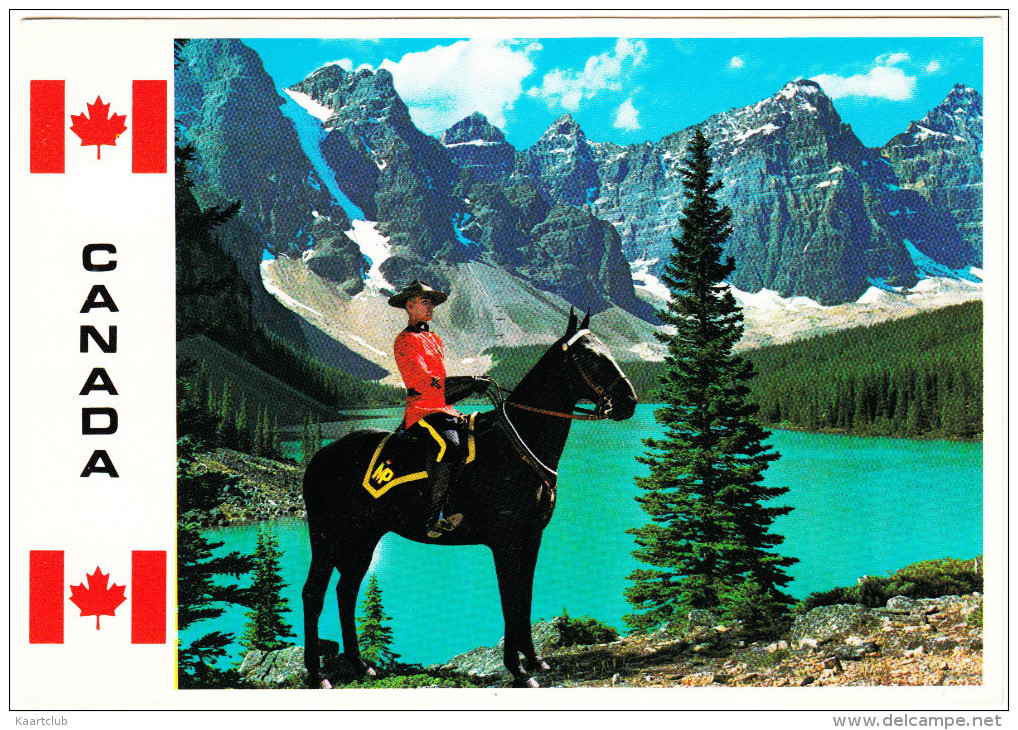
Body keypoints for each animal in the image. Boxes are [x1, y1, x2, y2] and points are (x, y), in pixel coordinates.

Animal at [299, 307, 635, 684]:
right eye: (590, 356)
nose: (630, 401)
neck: (516, 446)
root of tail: (320, 457)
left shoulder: (531, 538)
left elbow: (525, 596)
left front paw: (533, 660)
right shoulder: (505, 542)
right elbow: (509, 600)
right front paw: (517, 670)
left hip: (364, 537)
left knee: (347, 591)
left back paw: (360, 666)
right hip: (327, 536)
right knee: (313, 593)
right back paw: (317, 674)